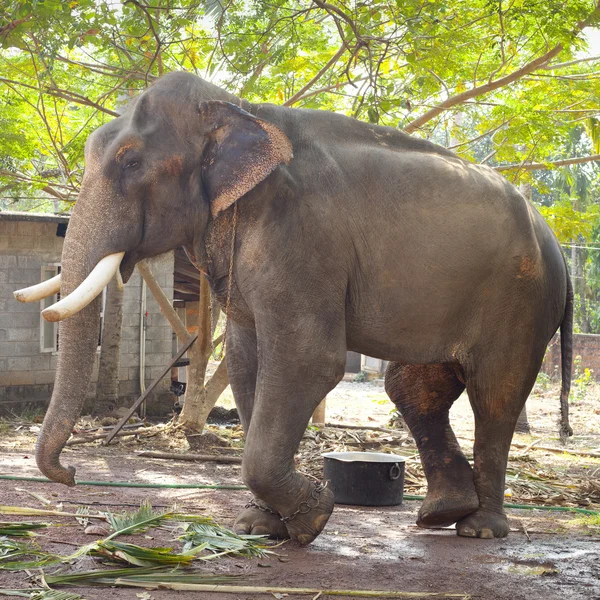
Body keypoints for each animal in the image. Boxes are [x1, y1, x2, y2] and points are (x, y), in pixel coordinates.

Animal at [18, 69, 572, 544]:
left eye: (131, 162)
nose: (71, 474)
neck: (240, 110)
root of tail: (556, 247)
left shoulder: (302, 236)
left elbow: (309, 359)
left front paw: (313, 517)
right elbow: (247, 361)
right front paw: (259, 527)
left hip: (520, 299)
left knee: (494, 392)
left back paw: (480, 529)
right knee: (414, 389)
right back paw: (442, 514)